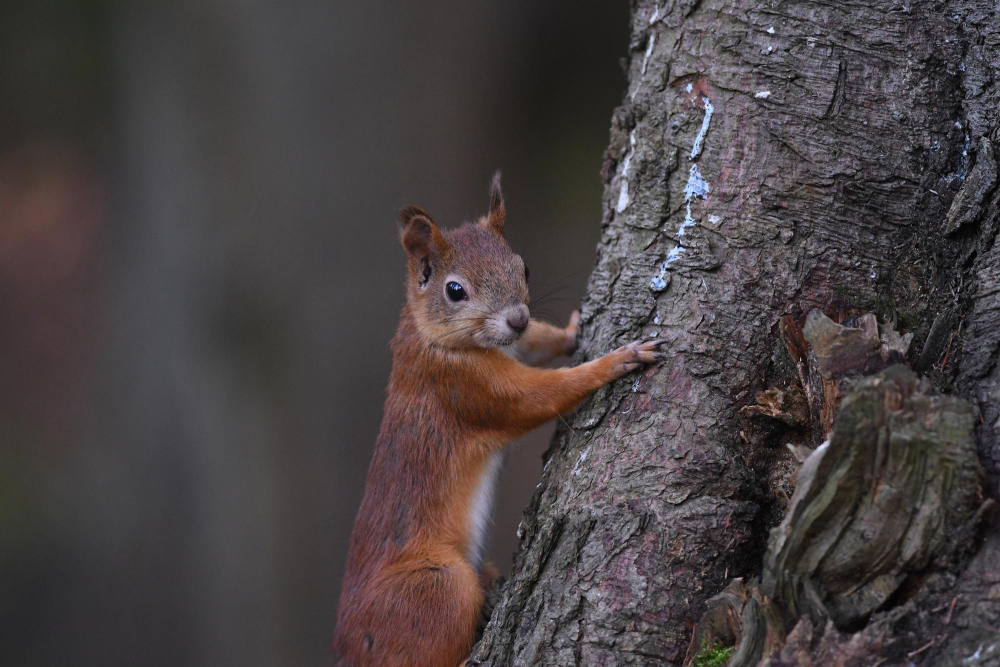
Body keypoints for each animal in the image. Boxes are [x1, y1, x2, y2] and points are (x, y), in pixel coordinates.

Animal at [332, 175, 668, 664]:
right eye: (454, 290)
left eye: (523, 267)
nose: (517, 319)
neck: (431, 337)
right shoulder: (464, 387)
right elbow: (537, 397)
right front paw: (618, 360)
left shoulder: (515, 348)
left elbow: (539, 345)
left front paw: (571, 330)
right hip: (438, 587)